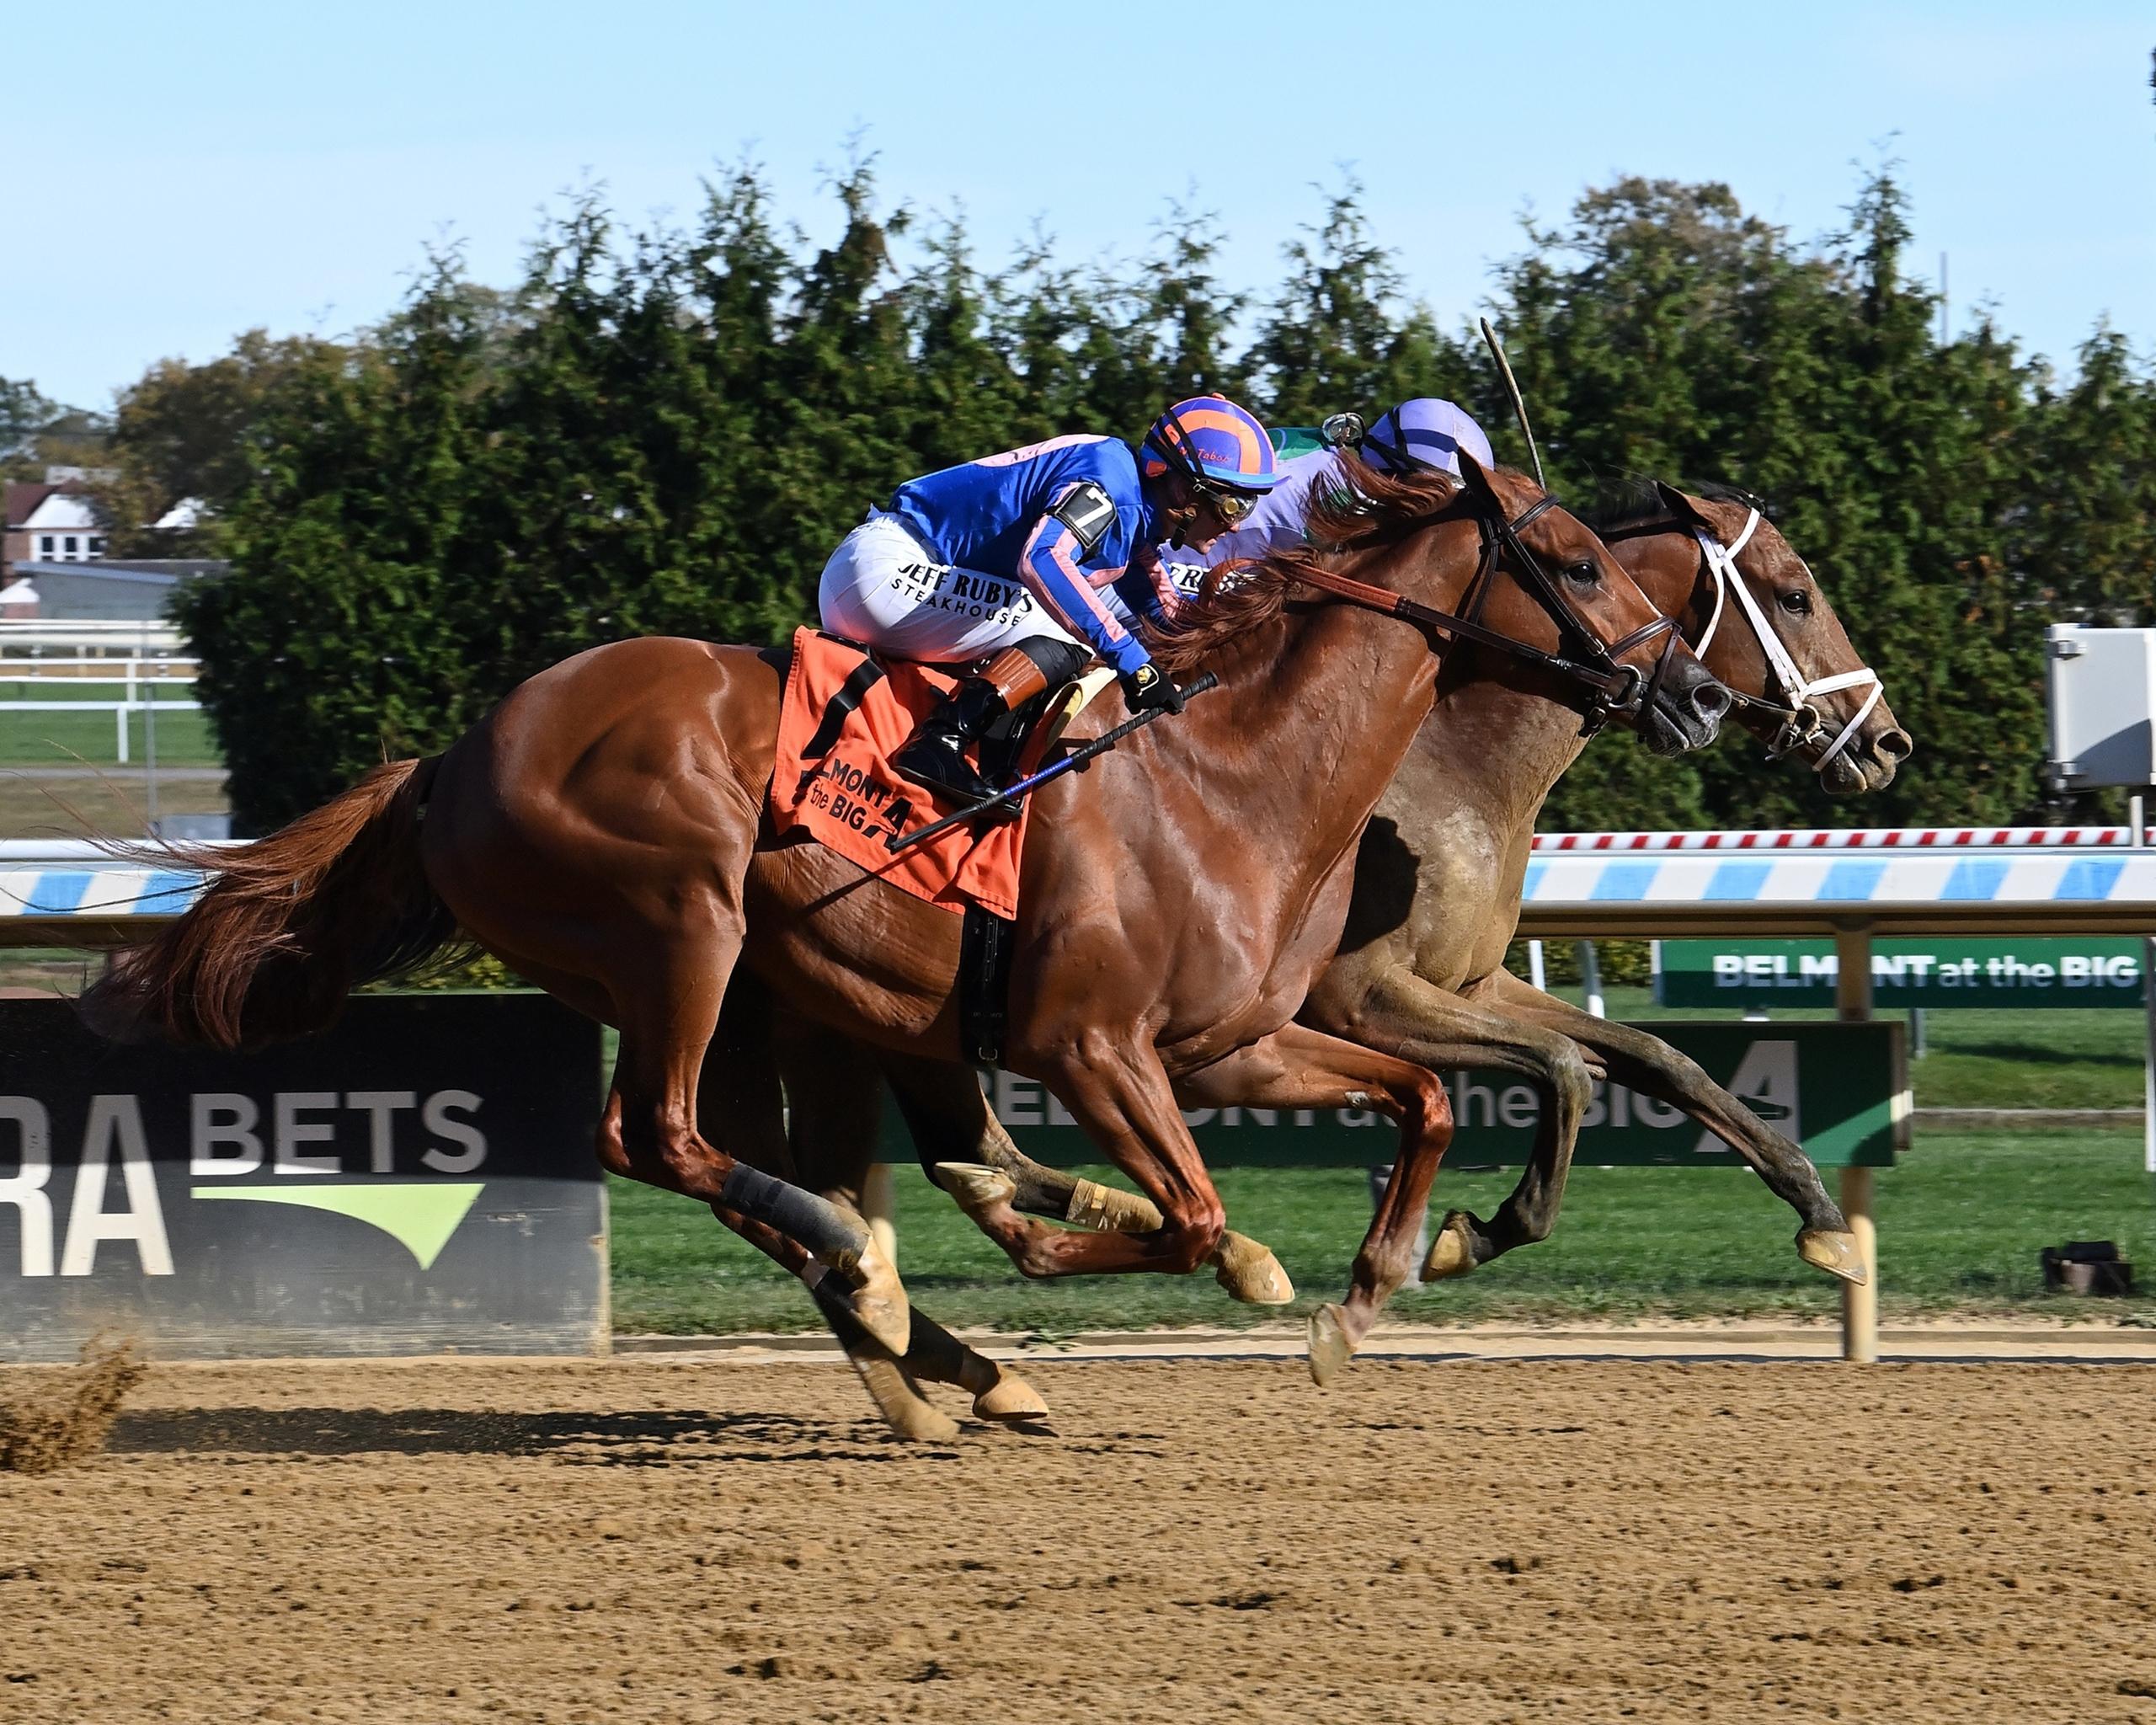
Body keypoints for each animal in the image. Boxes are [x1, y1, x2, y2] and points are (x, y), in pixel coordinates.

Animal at [82, 452, 1727, 1414]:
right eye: (1583, 564)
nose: (1702, 696)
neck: (1236, 776)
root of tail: (456, 756)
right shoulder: (1090, 1043)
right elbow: (1197, 1217)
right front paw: (1242, 1266)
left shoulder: (1238, 1042)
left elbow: (1427, 1098)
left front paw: (1371, 1290)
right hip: (681, 929)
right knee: (658, 1136)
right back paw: (895, 1291)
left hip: (771, 990)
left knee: (753, 1162)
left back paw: (926, 1334)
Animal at [739, 472, 1909, 1422]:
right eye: (1792, 590)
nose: (1886, 742)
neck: (1441, 762)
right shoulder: (1360, 998)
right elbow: (1563, 1069)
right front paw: (1466, 1234)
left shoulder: (1470, 978)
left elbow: (1647, 1058)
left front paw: (1820, 1217)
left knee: (912, 1169)